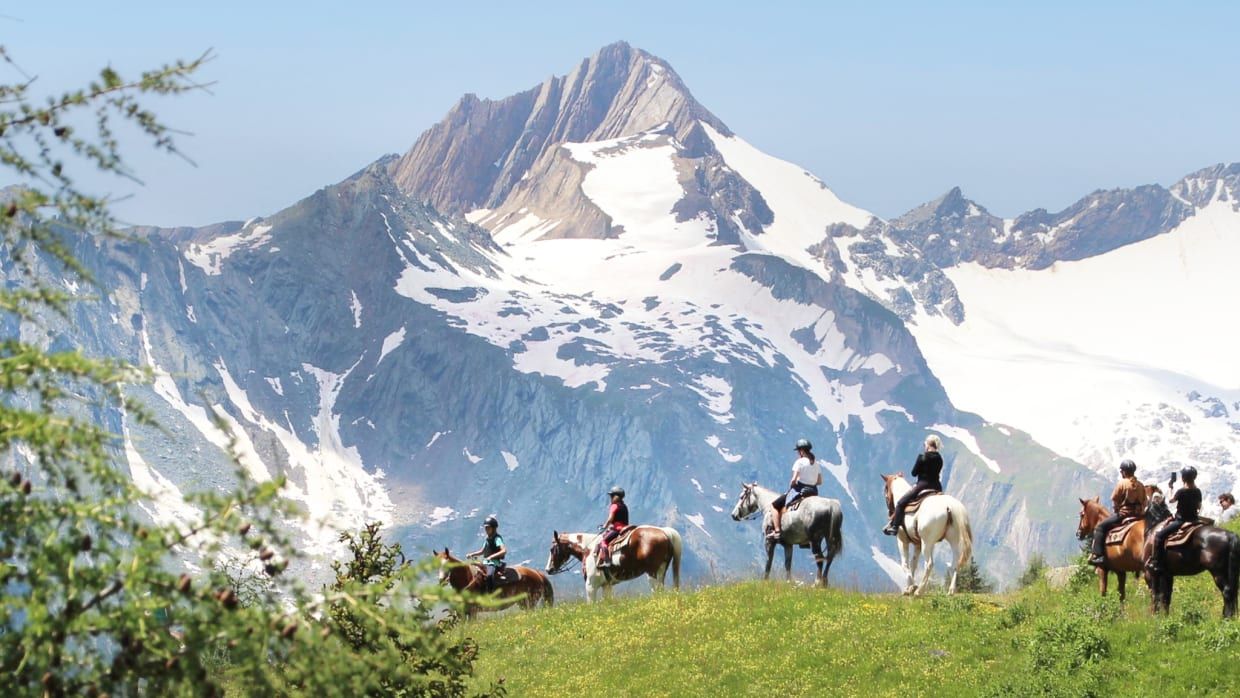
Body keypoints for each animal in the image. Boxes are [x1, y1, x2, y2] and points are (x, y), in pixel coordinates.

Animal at [545, 527, 682, 602]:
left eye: (552, 549)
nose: (548, 569)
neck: (588, 549)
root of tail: (665, 532)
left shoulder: (591, 585)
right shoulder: (607, 585)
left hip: (651, 573)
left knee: (656, 591)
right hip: (661, 571)